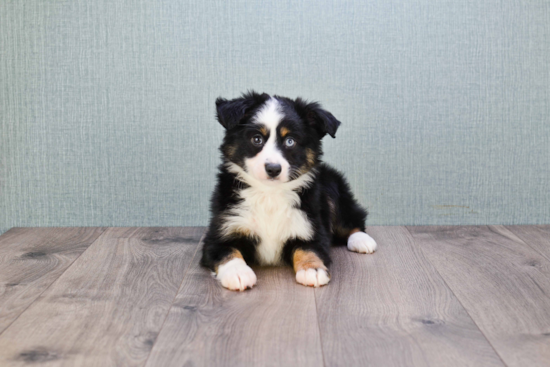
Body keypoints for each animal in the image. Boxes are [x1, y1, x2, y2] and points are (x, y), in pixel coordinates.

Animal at [203, 92, 380, 294]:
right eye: (257, 139)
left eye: (290, 141)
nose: (273, 168)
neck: (269, 194)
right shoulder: (220, 231)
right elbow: (228, 252)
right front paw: (238, 273)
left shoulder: (311, 227)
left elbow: (308, 249)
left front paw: (313, 269)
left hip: (333, 188)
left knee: (352, 218)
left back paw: (361, 240)